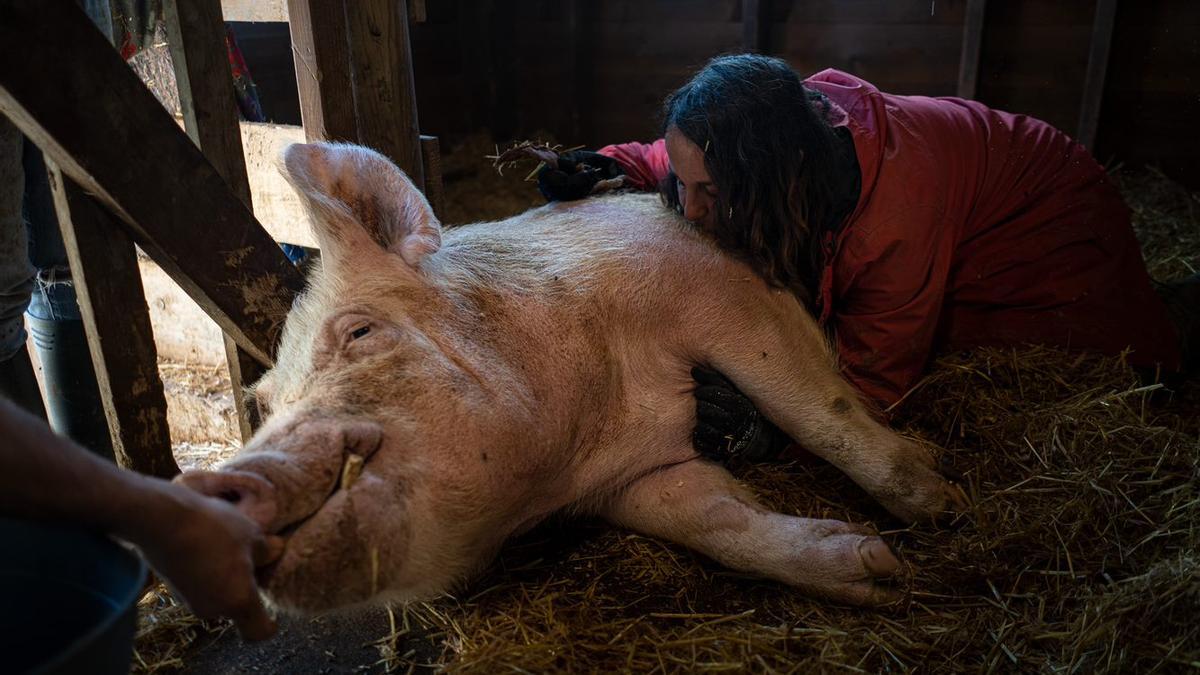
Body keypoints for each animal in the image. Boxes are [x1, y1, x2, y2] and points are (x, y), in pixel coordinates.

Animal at [177, 142, 964, 614]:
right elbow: (718, 523)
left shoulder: (718, 288)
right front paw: (876, 572)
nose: (207, 490)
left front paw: (940, 504)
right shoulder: (636, 482)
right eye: (264, 402)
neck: (583, 436)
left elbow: (819, 412)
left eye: (360, 333)